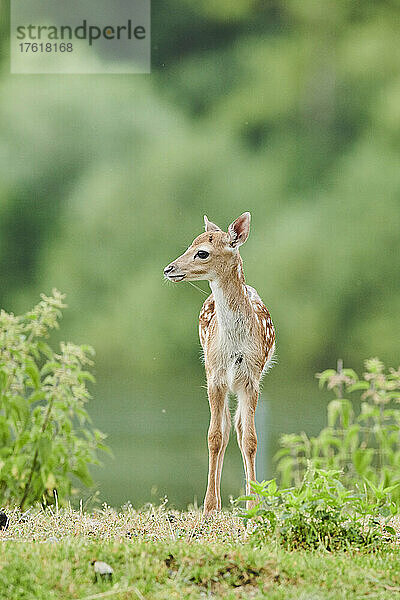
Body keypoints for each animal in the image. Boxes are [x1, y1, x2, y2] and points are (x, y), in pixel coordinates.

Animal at [163, 213, 276, 512]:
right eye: (190, 245)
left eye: (202, 252)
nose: (169, 269)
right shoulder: (215, 376)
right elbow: (214, 437)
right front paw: (209, 508)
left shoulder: (251, 379)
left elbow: (250, 439)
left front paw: (254, 506)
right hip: (213, 373)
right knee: (224, 429)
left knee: (236, 428)